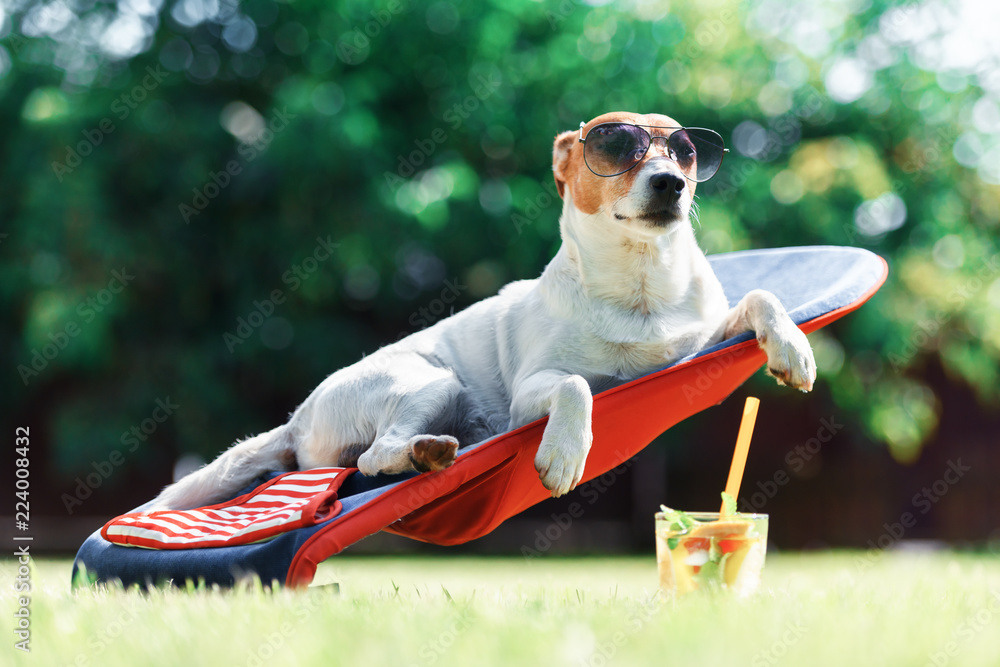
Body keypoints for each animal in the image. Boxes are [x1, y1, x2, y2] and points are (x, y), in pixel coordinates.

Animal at [152, 112, 816, 512]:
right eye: (616, 146)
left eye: (685, 153)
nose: (670, 185)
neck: (640, 289)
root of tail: (296, 419)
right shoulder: (530, 393)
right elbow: (577, 385)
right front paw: (563, 453)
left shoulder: (700, 341)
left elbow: (760, 298)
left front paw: (792, 347)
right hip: (430, 382)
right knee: (371, 457)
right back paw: (426, 453)